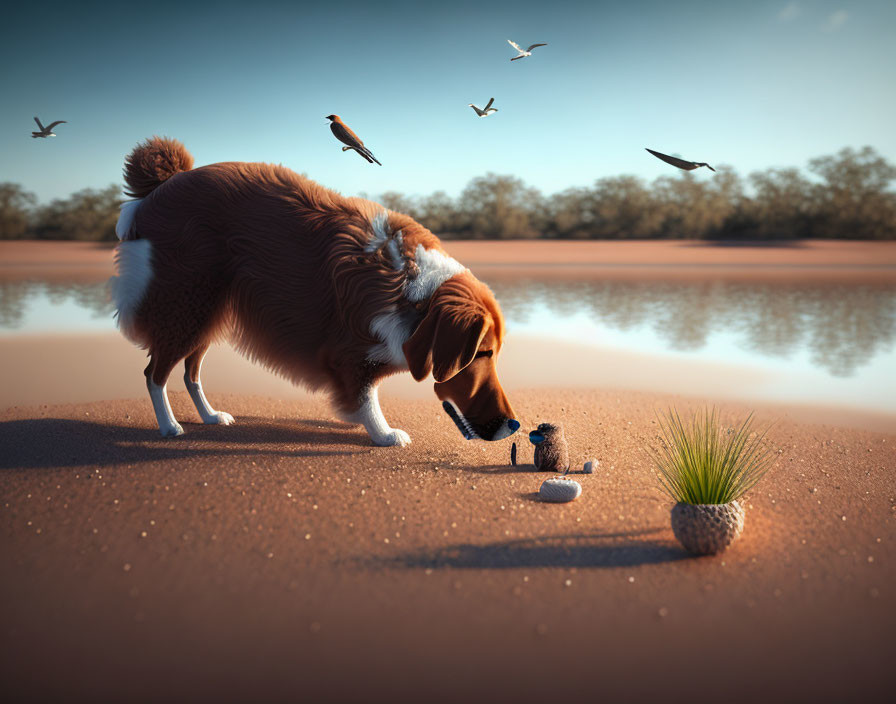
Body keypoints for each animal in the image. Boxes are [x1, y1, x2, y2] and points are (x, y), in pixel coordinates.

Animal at [109, 137, 520, 446]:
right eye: (480, 354)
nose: (512, 425)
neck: (414, 291)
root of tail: (166, 182)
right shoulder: (350, 349)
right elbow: (365, 395)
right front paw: (383, 434)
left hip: (209, 313)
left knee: (190, 371)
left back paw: (210, 416)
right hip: (187, 302)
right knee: (154, 372)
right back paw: (169, 426)